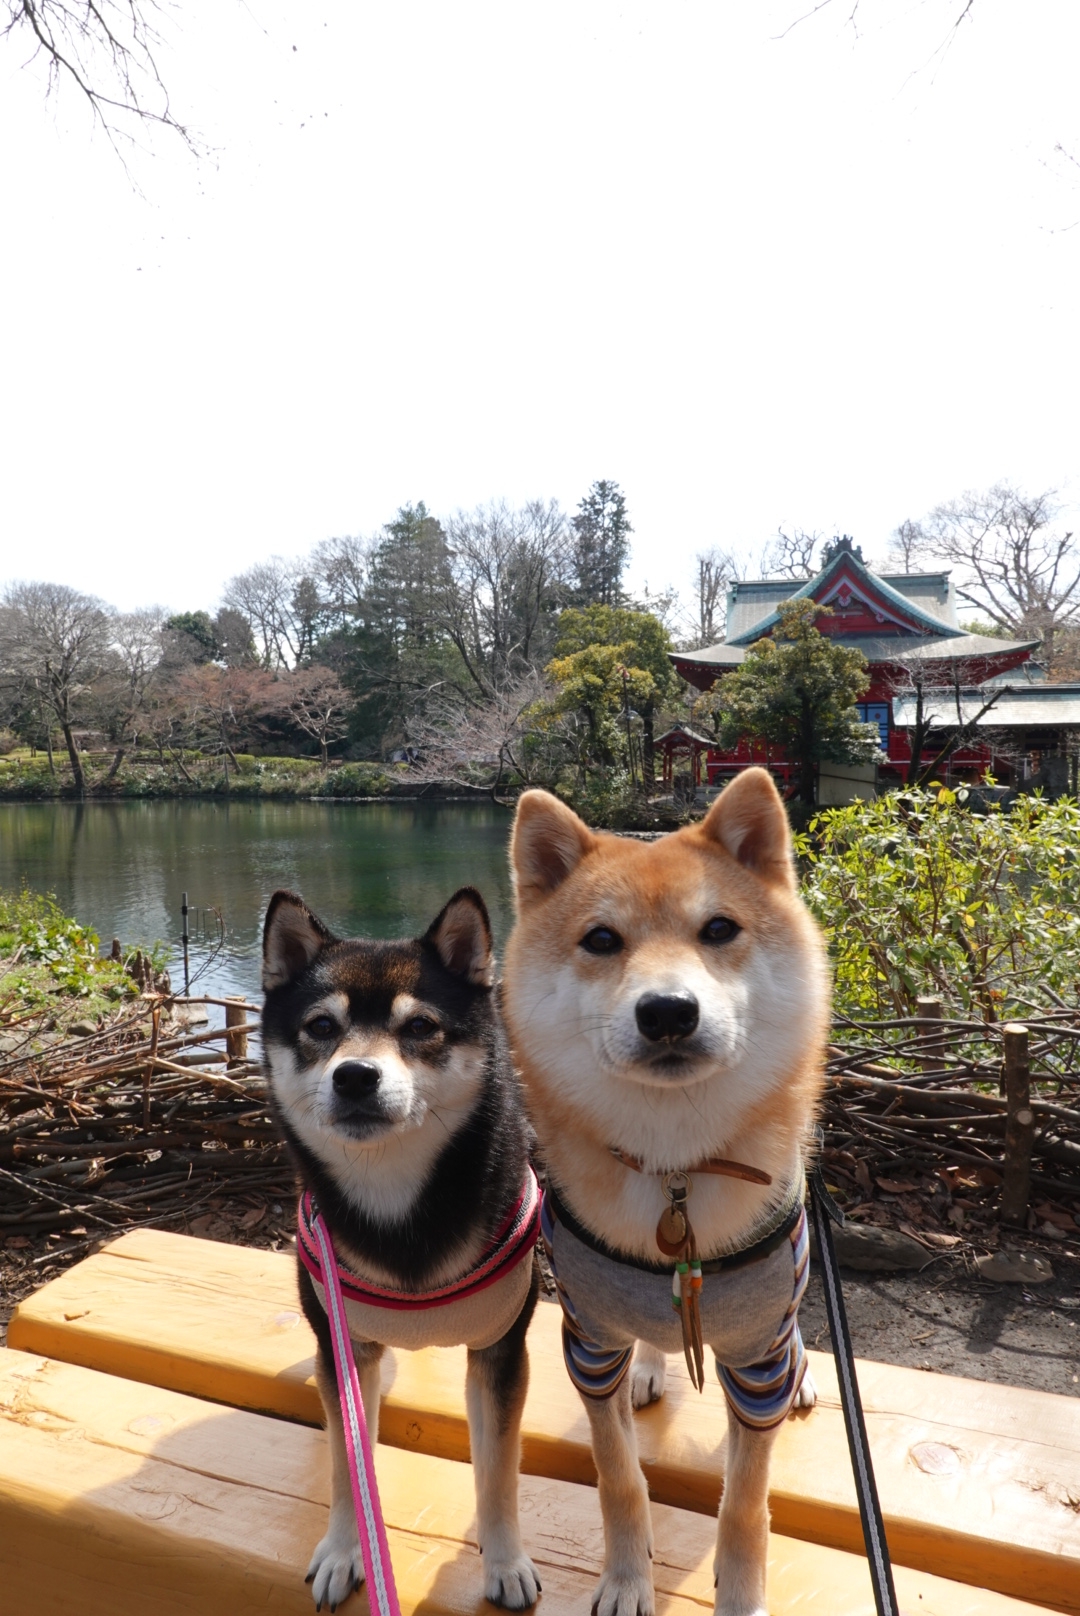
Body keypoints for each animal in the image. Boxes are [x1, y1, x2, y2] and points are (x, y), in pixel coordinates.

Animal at [261, 892, 540, 1609]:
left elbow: (498, 1473)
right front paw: (344, 1550)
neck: (397, 1204)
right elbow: (346, 1462)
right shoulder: (342, 1346)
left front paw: (505, 1561)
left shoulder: (500, 1351)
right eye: (320, 1026)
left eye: (419, 1027)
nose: (356, 1076)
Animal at [501, 765, 834, 1616]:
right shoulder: (588, 1342)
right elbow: (618, 1479)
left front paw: (742, 1595)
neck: (676, 1168)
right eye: (601, 940)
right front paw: (625, 1580)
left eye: (719, 929)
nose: (669, 1012)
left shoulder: (756, 1361)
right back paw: (653, 1365)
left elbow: (745, 1505)